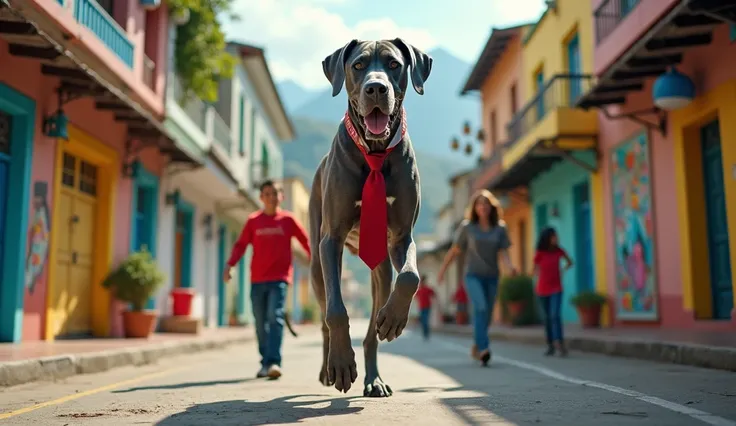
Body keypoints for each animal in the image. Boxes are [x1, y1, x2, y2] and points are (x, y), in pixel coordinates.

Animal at [310, 38, 434, 398]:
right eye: (358, 65)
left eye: (394, 64)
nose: (376, 87)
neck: (375, 152)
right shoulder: (331, 240)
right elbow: (336, 311)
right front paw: (340, 365)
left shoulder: (402, 237)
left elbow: (411, 277)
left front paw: (393, 319)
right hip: (315, 267)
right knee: (324, 313)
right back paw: (328, 368)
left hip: (379, 267)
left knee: (371, 332)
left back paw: (374, 378)